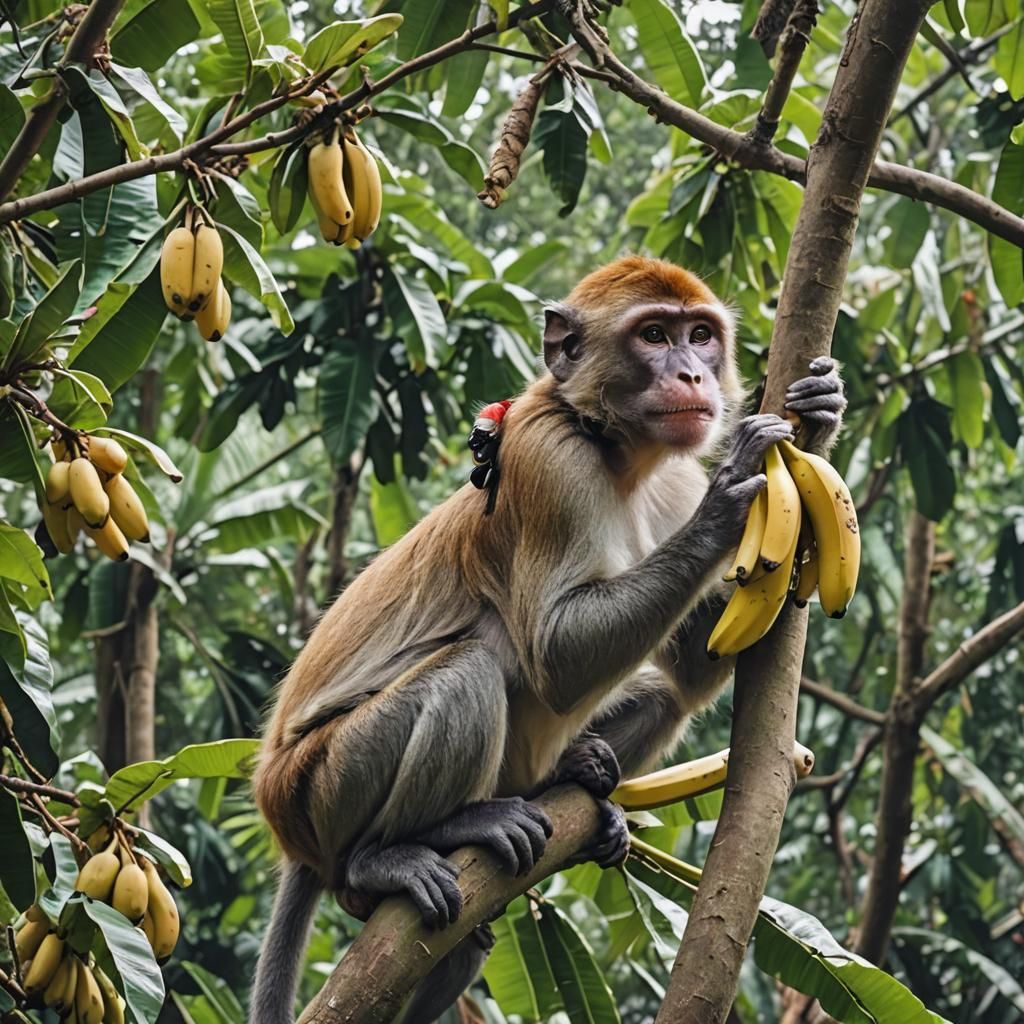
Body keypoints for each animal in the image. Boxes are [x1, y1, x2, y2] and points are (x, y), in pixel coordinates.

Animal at [249, 256, 845, 1024]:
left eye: (701, 335)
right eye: (655, 335)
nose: (693, 375)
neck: (616, 454)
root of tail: (284, 820)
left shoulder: (671, 479)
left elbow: (690, 666)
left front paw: (824, 410)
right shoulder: (550, 462)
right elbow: (555, 655)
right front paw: (735, 486)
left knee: (657, 698)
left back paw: (574, 778)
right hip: (321, 785)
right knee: (468, 670)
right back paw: (391, 855)